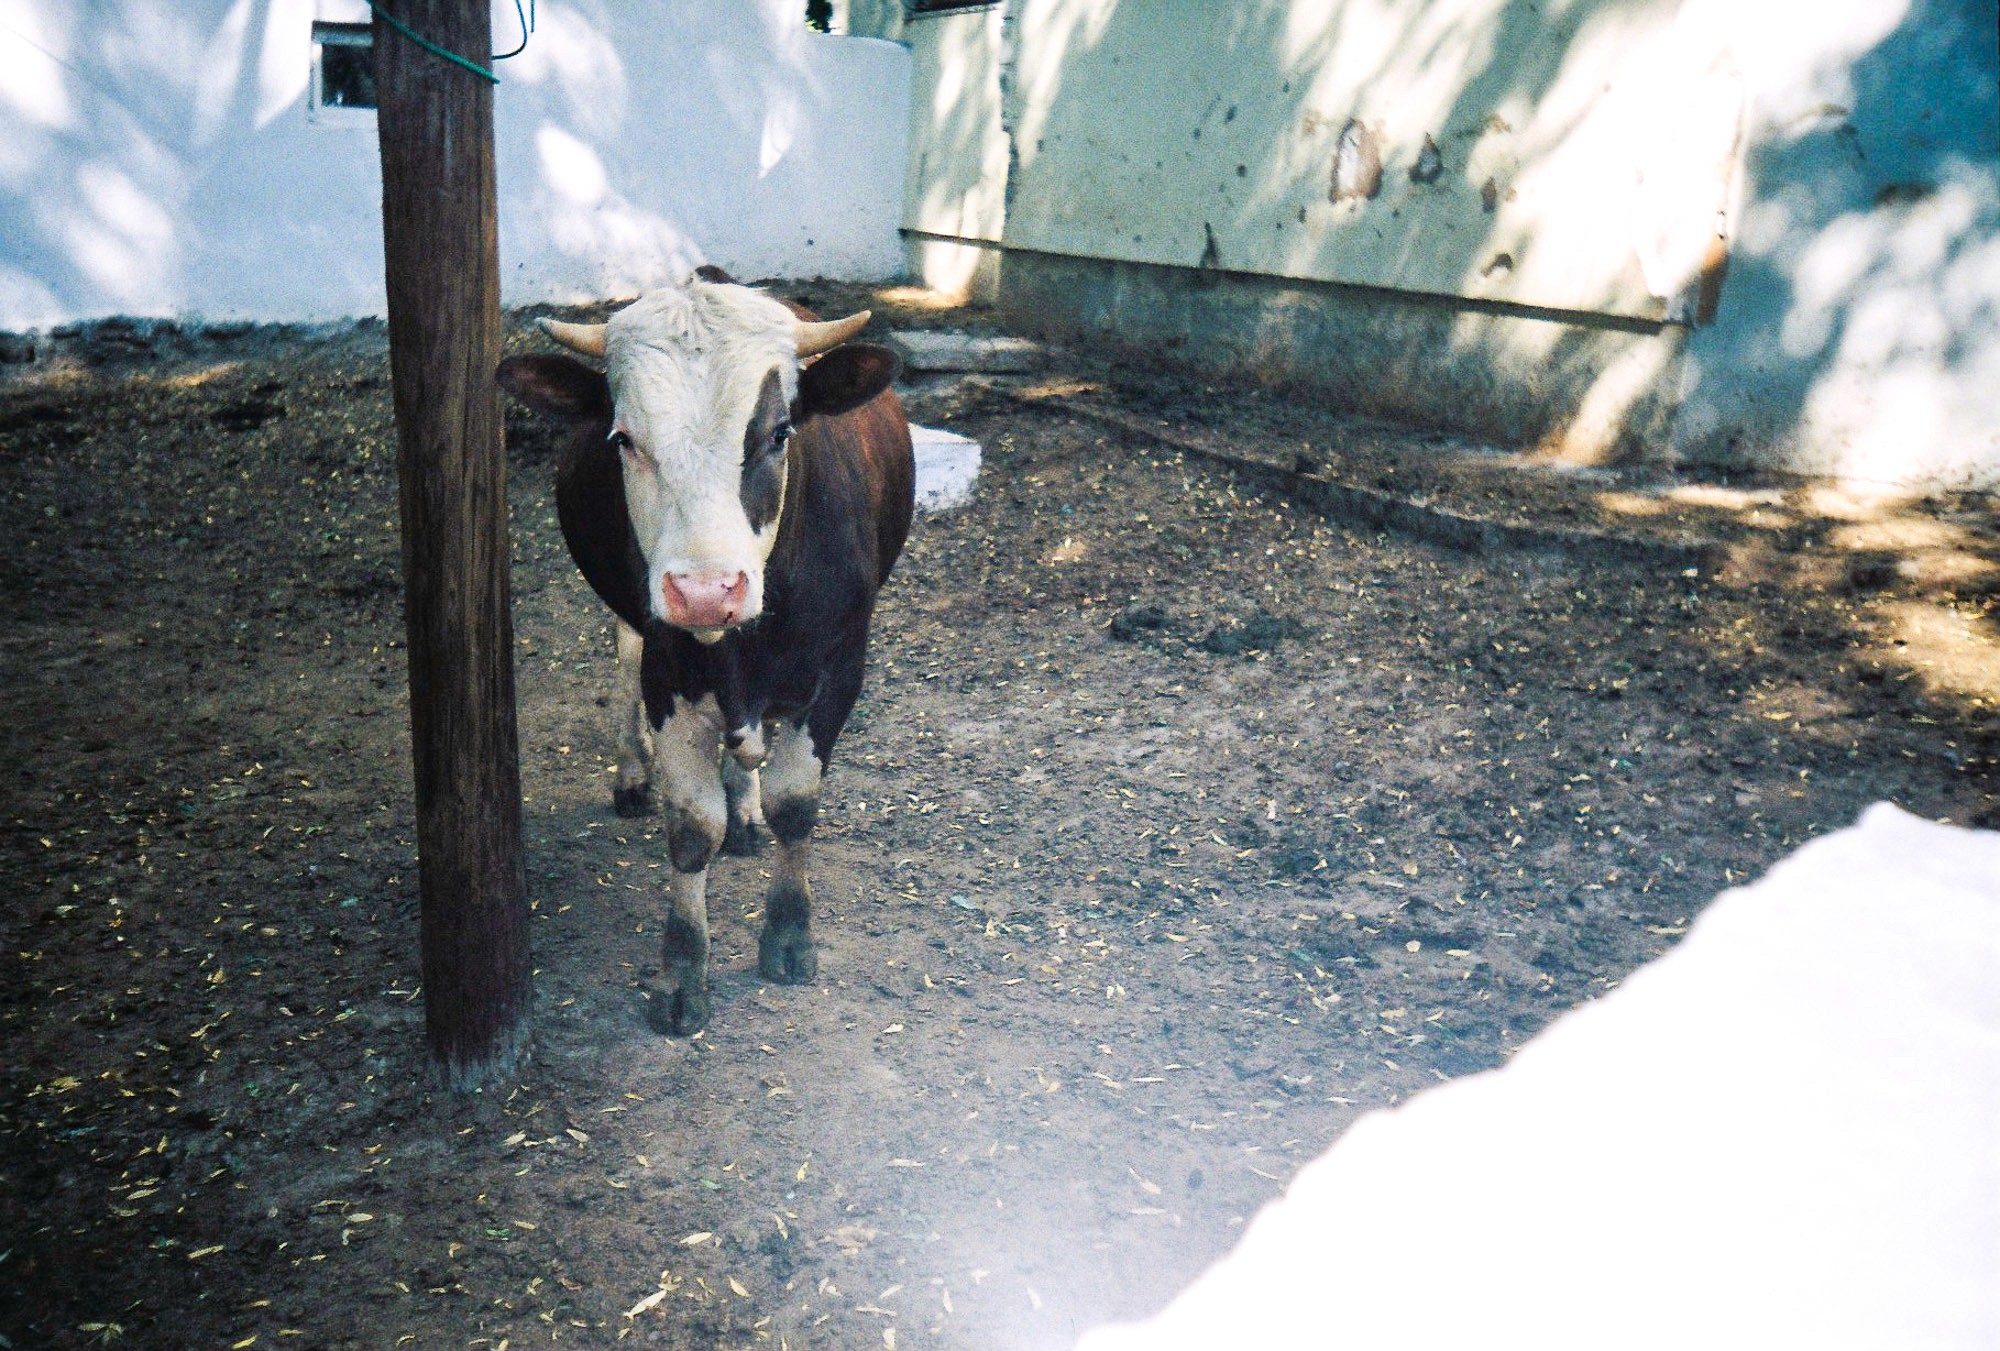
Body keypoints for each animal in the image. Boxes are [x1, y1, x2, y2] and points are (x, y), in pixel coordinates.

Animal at [497, 270, 913, 1035]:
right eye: (625, 438)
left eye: (778, 432)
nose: (704, 591)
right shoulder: (670, 675)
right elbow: (692, 828)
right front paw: (682, 975)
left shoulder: (840, 670)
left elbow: (794, 805)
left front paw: (789, 935)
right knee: (624, 657)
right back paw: (633, 773)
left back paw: (744, 806)